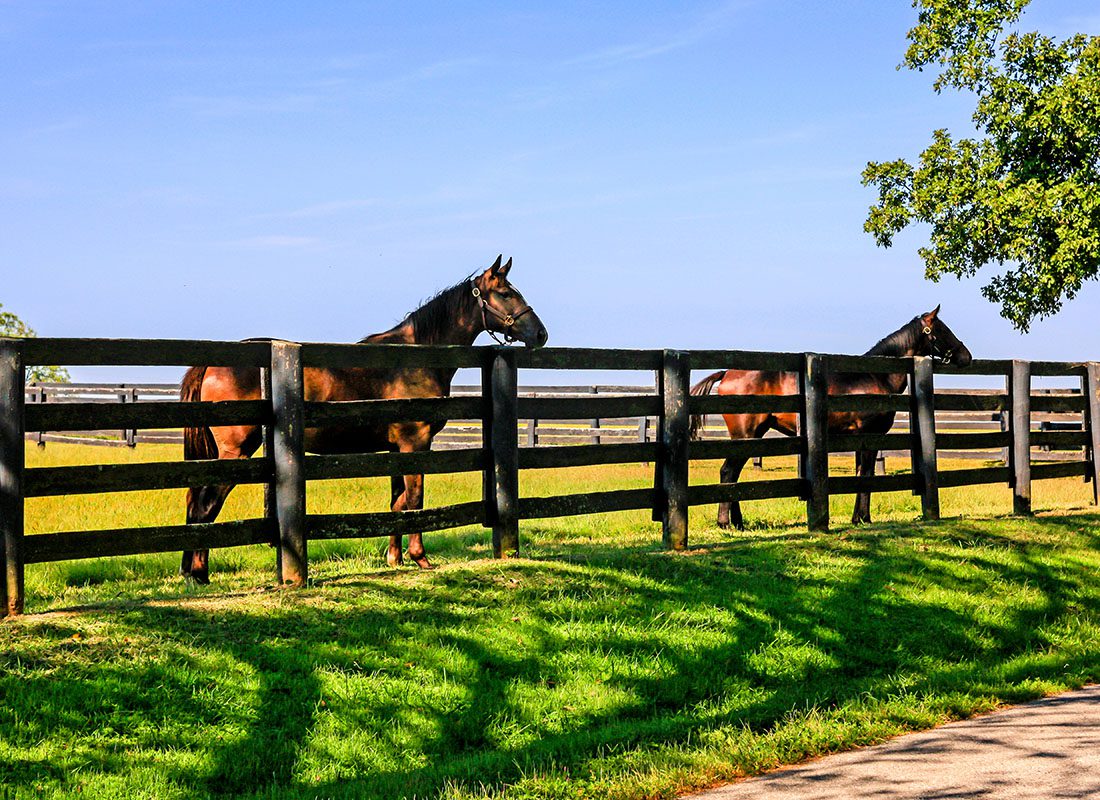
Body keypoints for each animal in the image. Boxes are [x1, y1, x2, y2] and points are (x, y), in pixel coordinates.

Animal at [177, 256, 550, 581]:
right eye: (506, 293)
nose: (540, 334)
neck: (413, 358)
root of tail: (211, 363)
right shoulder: (415, 443)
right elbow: (415, 499)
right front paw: (420, 558)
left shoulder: (396, 449)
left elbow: (397, 502)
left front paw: (395, 558)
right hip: (236, 451)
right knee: (206, 505)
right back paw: (197, 574)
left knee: (197, 501)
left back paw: (194, 572)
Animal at [686, 305, 972, 532]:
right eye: (942, 329)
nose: (966, 356)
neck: (875, 376)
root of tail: (726, 374)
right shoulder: (870, 436)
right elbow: (866, 474)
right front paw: (863, 518)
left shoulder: (859, 439)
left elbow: (859, 473)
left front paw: (858, 517)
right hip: (747, 435)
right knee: (728, 472)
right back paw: (726, 522)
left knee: (732, 475)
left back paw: (737, 522)